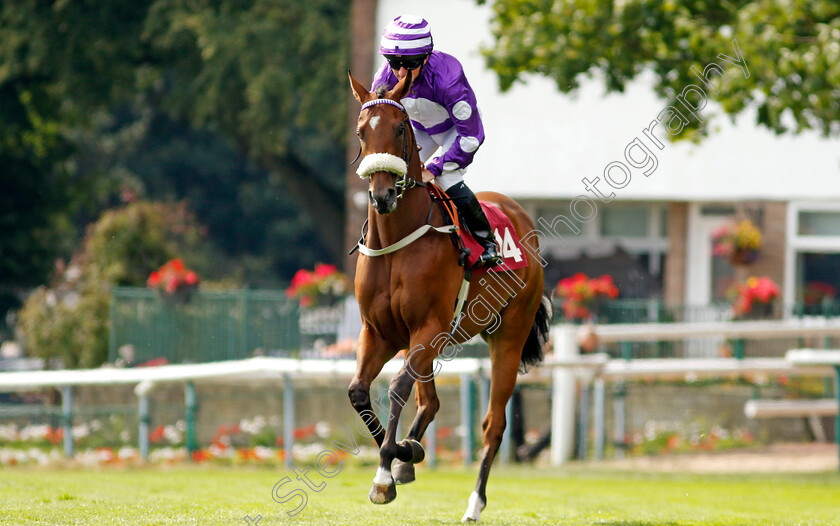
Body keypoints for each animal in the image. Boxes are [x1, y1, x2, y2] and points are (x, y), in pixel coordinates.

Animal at [348, 71, 552, 524]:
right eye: (361, 132)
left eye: (400, 129)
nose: (382, 195)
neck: (397, 239)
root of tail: (519, 214)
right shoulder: (379, 332)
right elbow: (359, 392)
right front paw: (400, 455)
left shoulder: (429, 327)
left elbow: (397, 389)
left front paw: (384, 474)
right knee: (432, 402)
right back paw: (409, 456)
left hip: (508, 336)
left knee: (493, 423)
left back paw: (474, 502)